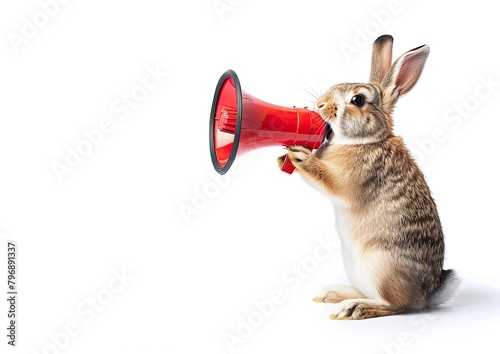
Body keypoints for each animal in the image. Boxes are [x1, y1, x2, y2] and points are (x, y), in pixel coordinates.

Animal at [278, 35, 460, 320]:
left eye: (357, 100)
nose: (320, 105)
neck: (367, 140)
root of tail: (426, 295)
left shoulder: (349, 179)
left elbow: (326, 180)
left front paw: (300, 156)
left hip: (381, 267)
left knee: (397, 305)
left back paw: (354, 308)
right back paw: (333, 293)